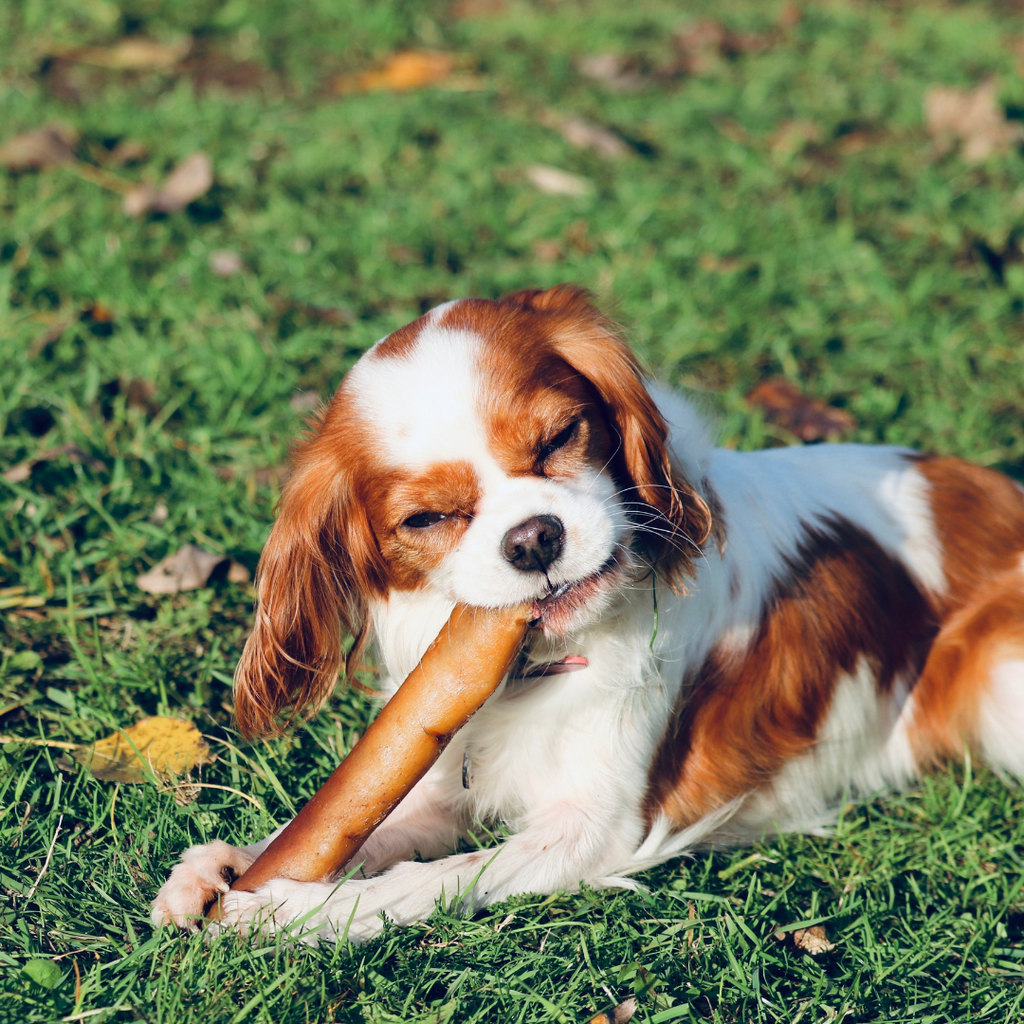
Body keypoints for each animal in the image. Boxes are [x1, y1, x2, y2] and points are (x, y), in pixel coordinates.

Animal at [148, 284, 1024, 937]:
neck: (540, 664)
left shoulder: (589, 831)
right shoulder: (434, 774)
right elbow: (354, 828)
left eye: (560, 438)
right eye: (427, 519)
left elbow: (429, 879)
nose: (534, 538)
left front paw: (293, 911)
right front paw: (226, 868)